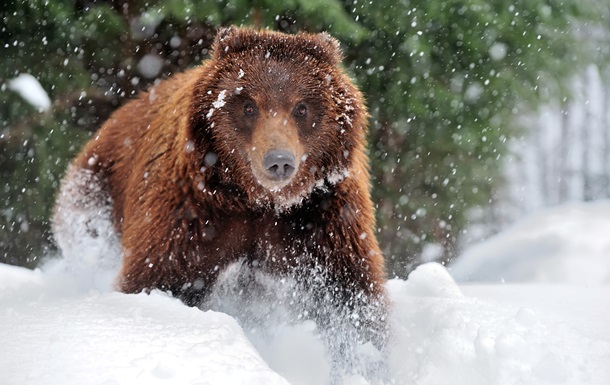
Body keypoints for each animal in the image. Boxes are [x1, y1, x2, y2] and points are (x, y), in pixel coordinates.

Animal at [51, 26, 384, 348]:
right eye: (249, 106)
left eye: (301, 107)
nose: (279, 161)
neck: (257, 201)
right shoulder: (191, 213)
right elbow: (156, 276)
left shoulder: (322, 219)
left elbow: (350, 302)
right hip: (95, 192)